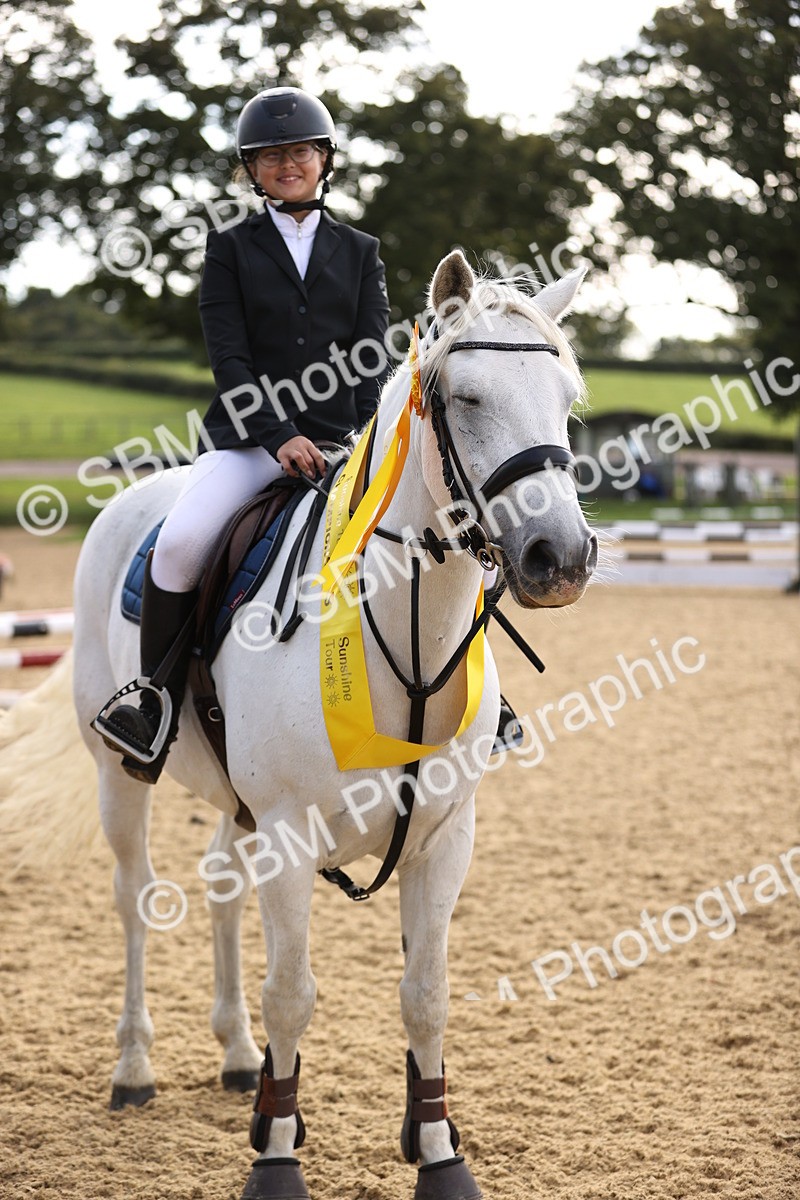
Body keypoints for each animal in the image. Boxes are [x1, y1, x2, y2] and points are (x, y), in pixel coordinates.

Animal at [8, 250, 597, 1200]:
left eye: (567, 397)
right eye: (467, 397)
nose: (561, 558)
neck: (405, 639)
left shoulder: (444, 838)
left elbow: (426, 995)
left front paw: (439, 1154)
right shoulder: (288, 831)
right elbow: (293, 993)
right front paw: (278, 1158)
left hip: (234, 800)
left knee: (219, 884)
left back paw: (238, 1057)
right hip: (118, 776)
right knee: (135, 898)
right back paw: (134, 1069)